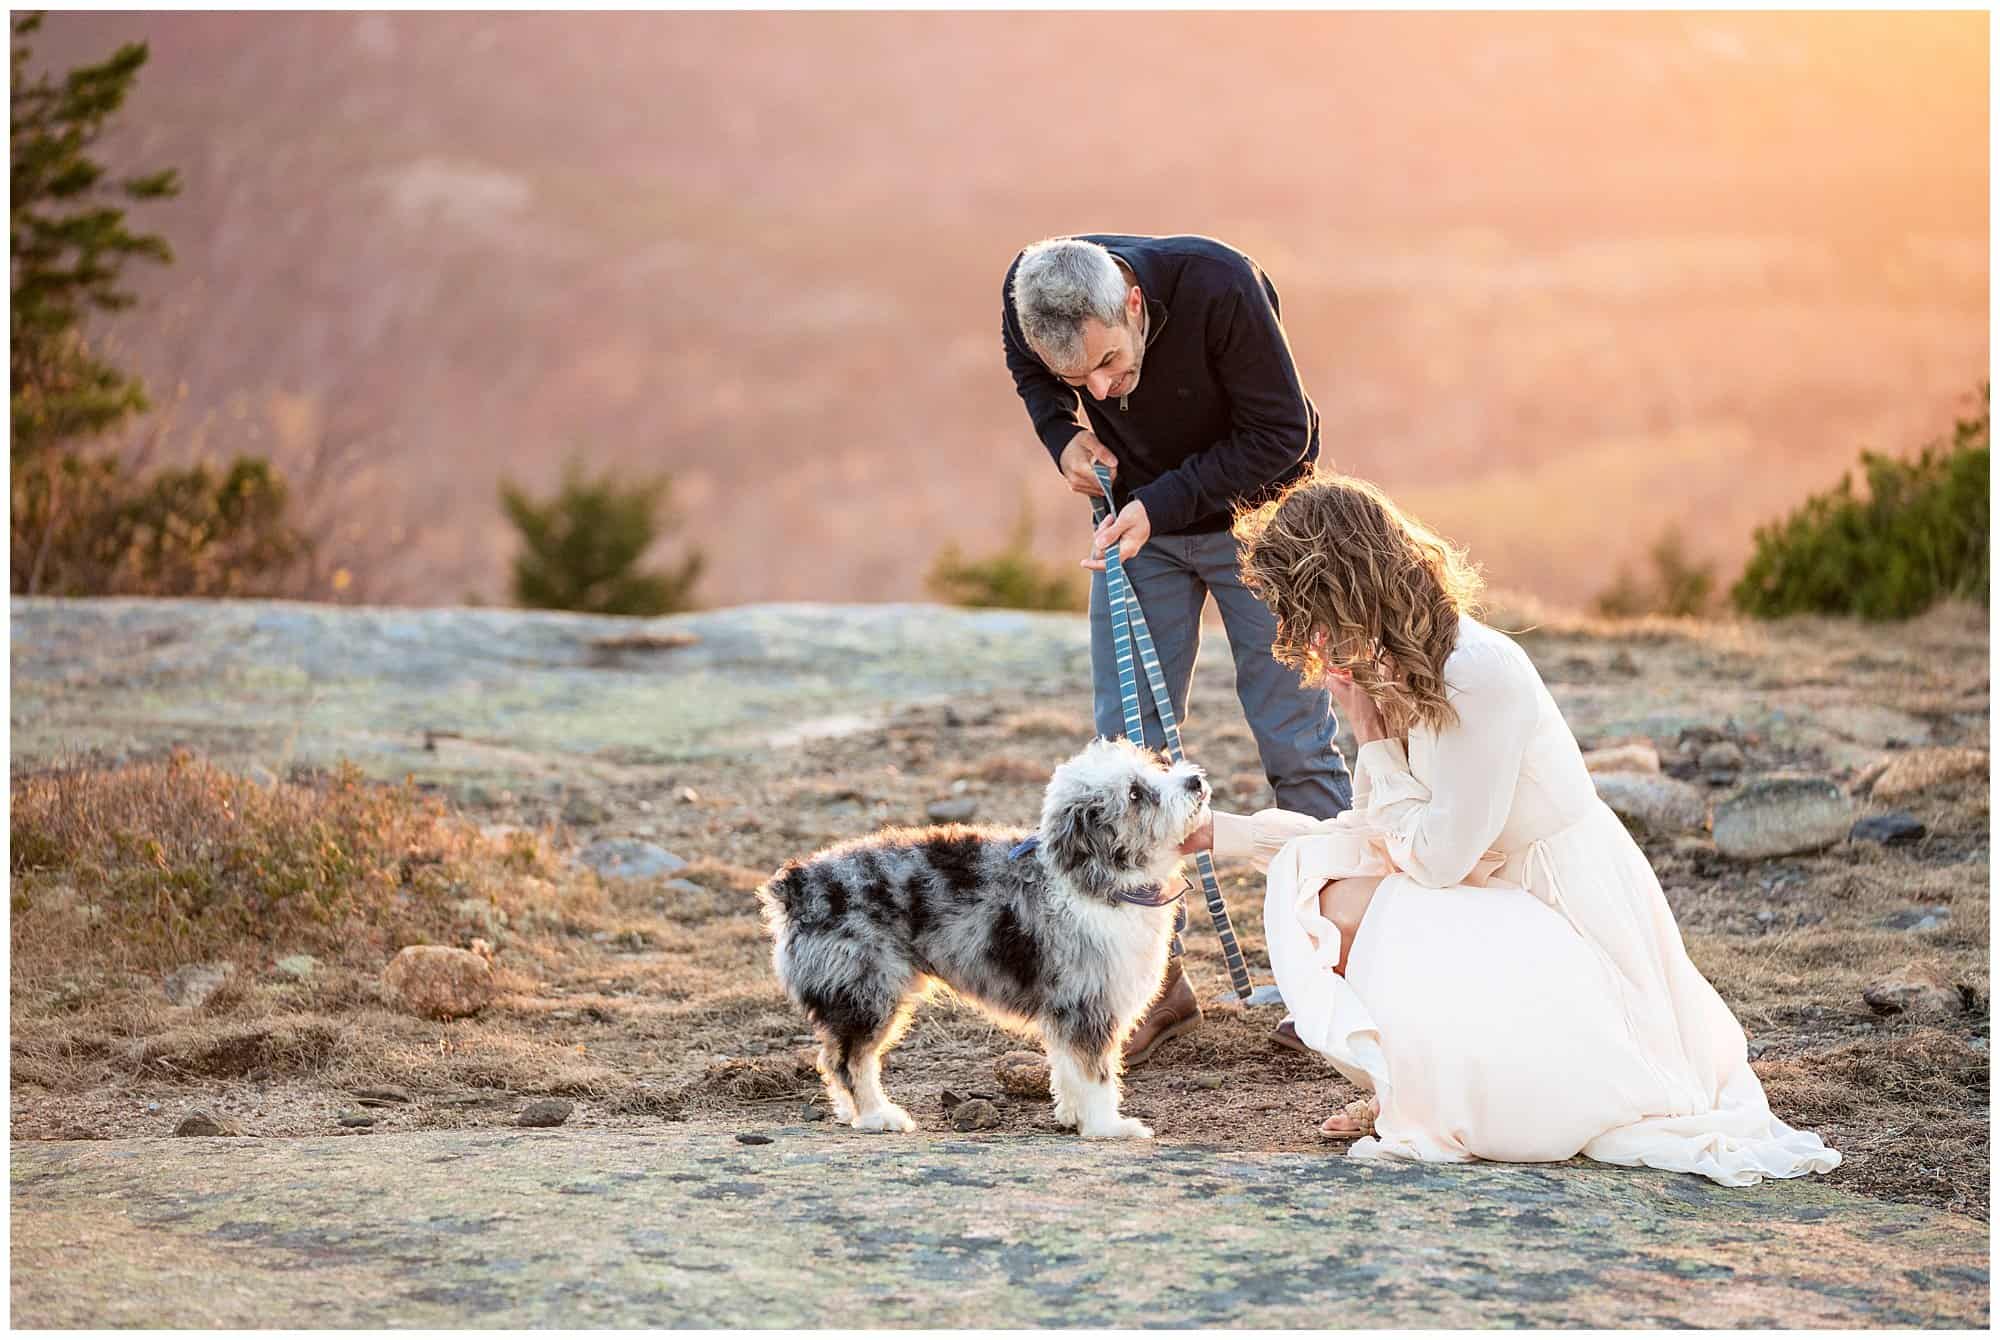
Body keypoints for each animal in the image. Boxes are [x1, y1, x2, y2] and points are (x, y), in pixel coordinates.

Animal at [756, 740, 1208, 1136]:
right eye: (1135, 794)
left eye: (1158, 767)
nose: (1194, 781)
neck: (1094, 879)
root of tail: (796, 884)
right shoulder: (1086, 1003)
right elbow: (1093, 1074)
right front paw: (1106, 1126)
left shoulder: (1065, 1007)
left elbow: (1067, 1068)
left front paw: (1072, 1114)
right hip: (866, 991)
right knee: (849, 1060)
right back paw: (875, 1116)